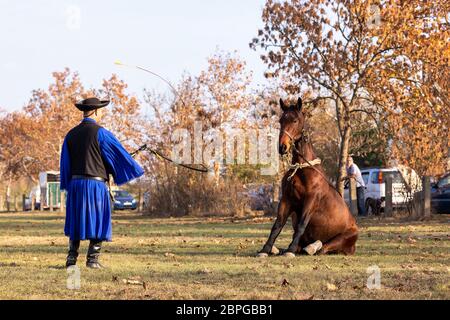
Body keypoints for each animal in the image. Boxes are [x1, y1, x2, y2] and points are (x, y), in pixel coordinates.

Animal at [256, 97, 358, 258]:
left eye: (295, 120)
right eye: (281, 120)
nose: (282, 147)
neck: (301, 169)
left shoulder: (310, 200)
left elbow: (302, 224)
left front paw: (290, 250)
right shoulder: (286, 200)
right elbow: (277, 225)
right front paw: (265, 249)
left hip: (343, 238)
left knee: (323, 248)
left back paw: (311, 247)